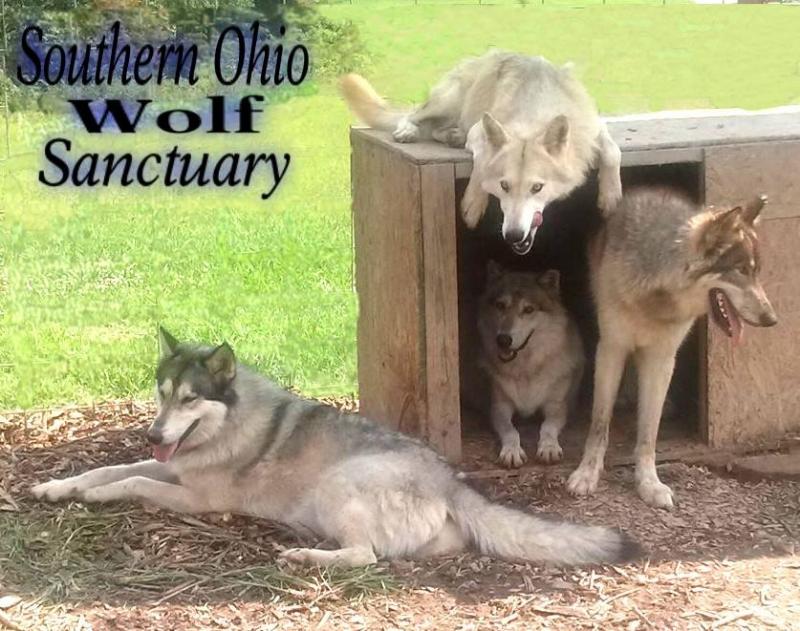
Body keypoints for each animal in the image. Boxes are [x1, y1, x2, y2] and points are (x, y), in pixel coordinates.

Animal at [32, 329, 639, 568]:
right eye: (161, 396)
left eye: (190, 400)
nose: (155, 435)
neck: (227, 423)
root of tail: (449, 478)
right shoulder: (170, 469)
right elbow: (110, 468)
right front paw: (58, 487)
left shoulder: (196, 499)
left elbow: (130, 481)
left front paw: (92, 498)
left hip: (336, 487)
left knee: (365, 556)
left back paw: (305, 556)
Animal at [340, 50, 622, 255]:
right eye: (504, 186)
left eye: (537, 188)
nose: (513, 235)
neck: (537, 112)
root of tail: (481, 57)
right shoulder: (479, 131)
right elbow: (482, 163)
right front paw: (473, 203)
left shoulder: (596, 128)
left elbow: (613, 151)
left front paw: (610, 196)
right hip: (446, 102)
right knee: (413, 115)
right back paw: (408, 131)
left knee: (437, 130)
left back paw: (452, 136)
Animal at [478, 263, 584, 468]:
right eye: (500, 306)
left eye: (528, 309)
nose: (503, 340)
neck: (525, 369)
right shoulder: (499, 407)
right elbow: (511, 431)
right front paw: (511, 452)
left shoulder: (557, 407)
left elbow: (547, 427)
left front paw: (549, 448)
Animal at [567, 189, 777, 509]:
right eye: (741, 271)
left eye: (757, 272)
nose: (771, 319)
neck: (657, 295)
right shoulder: (611, 348)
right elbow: (599, 422)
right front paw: (587, 475)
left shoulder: (662, 358)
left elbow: (648, 434)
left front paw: (649, 484)